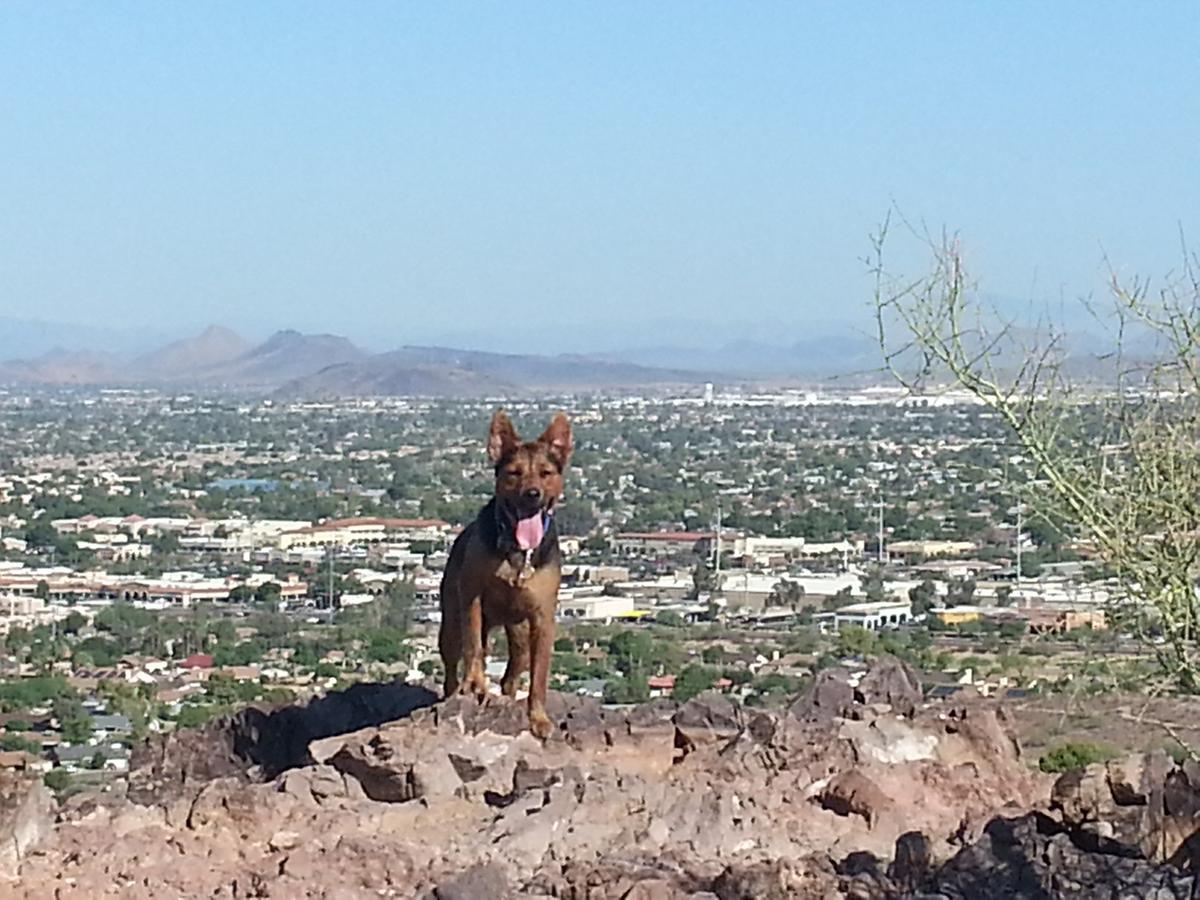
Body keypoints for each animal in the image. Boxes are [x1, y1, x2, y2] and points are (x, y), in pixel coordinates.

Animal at [439, 408, 573, 739]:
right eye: (513, 472)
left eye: (546, 473)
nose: (532, 494)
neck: (516, 549)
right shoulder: (471, 597)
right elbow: (474, 648)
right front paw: (474, 684)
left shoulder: (543, 619)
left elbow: (539, 677)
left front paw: (538, 718)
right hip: (451, 621)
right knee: (454, 665)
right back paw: (456, 693)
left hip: (521, 634)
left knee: (511, 677)